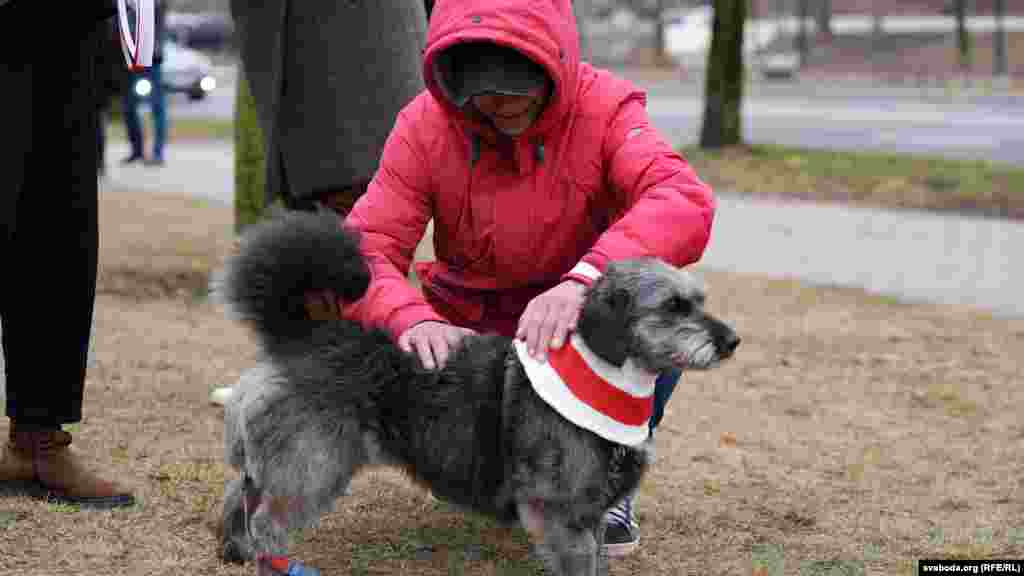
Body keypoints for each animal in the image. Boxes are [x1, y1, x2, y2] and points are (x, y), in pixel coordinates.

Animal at [214, 212, 737, 573]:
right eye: (673, 306)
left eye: (699, 300)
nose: (731, 340)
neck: (601, 375)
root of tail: (303, 336)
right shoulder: (562, 516)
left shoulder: (587, 514)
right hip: (313, 470)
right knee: (267, 523)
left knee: (241, 493)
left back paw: (234, 549)